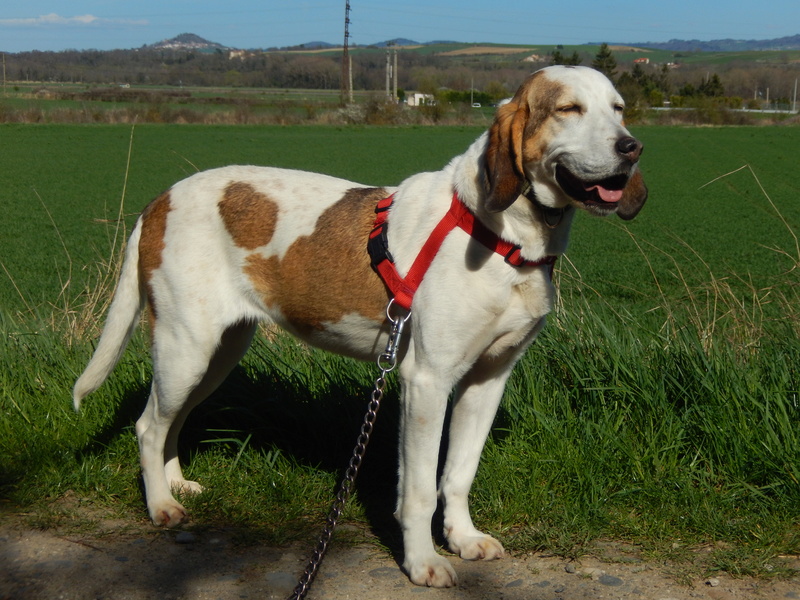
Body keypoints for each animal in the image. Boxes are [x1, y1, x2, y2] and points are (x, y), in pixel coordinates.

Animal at [75, 65, 648, 584]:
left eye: (619, 108)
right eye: (568, 109)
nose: (632, 147)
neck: (506, 236)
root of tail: (159, 200)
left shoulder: (488, 379)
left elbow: (458, 475)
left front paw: (463, 538)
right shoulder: (426, 382)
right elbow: (418, 490)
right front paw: (422, 563)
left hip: (216, 354)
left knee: (170, 420)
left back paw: (175, 485)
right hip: (185, 348)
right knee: (148, 425)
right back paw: (161, 506)